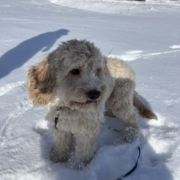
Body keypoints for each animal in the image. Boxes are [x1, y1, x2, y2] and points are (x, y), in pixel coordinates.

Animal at [27, 39, 157, 167]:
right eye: (74, 70)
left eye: (97, 70)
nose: (95, 94)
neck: (69, 107)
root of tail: (127, 66)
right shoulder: (60, 125)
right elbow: (61, 143)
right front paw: (57, 158)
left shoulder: (86, 130)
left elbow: (84, 151)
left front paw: (80, 167)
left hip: (120, 100)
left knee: (132, 115)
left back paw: (129, 134)